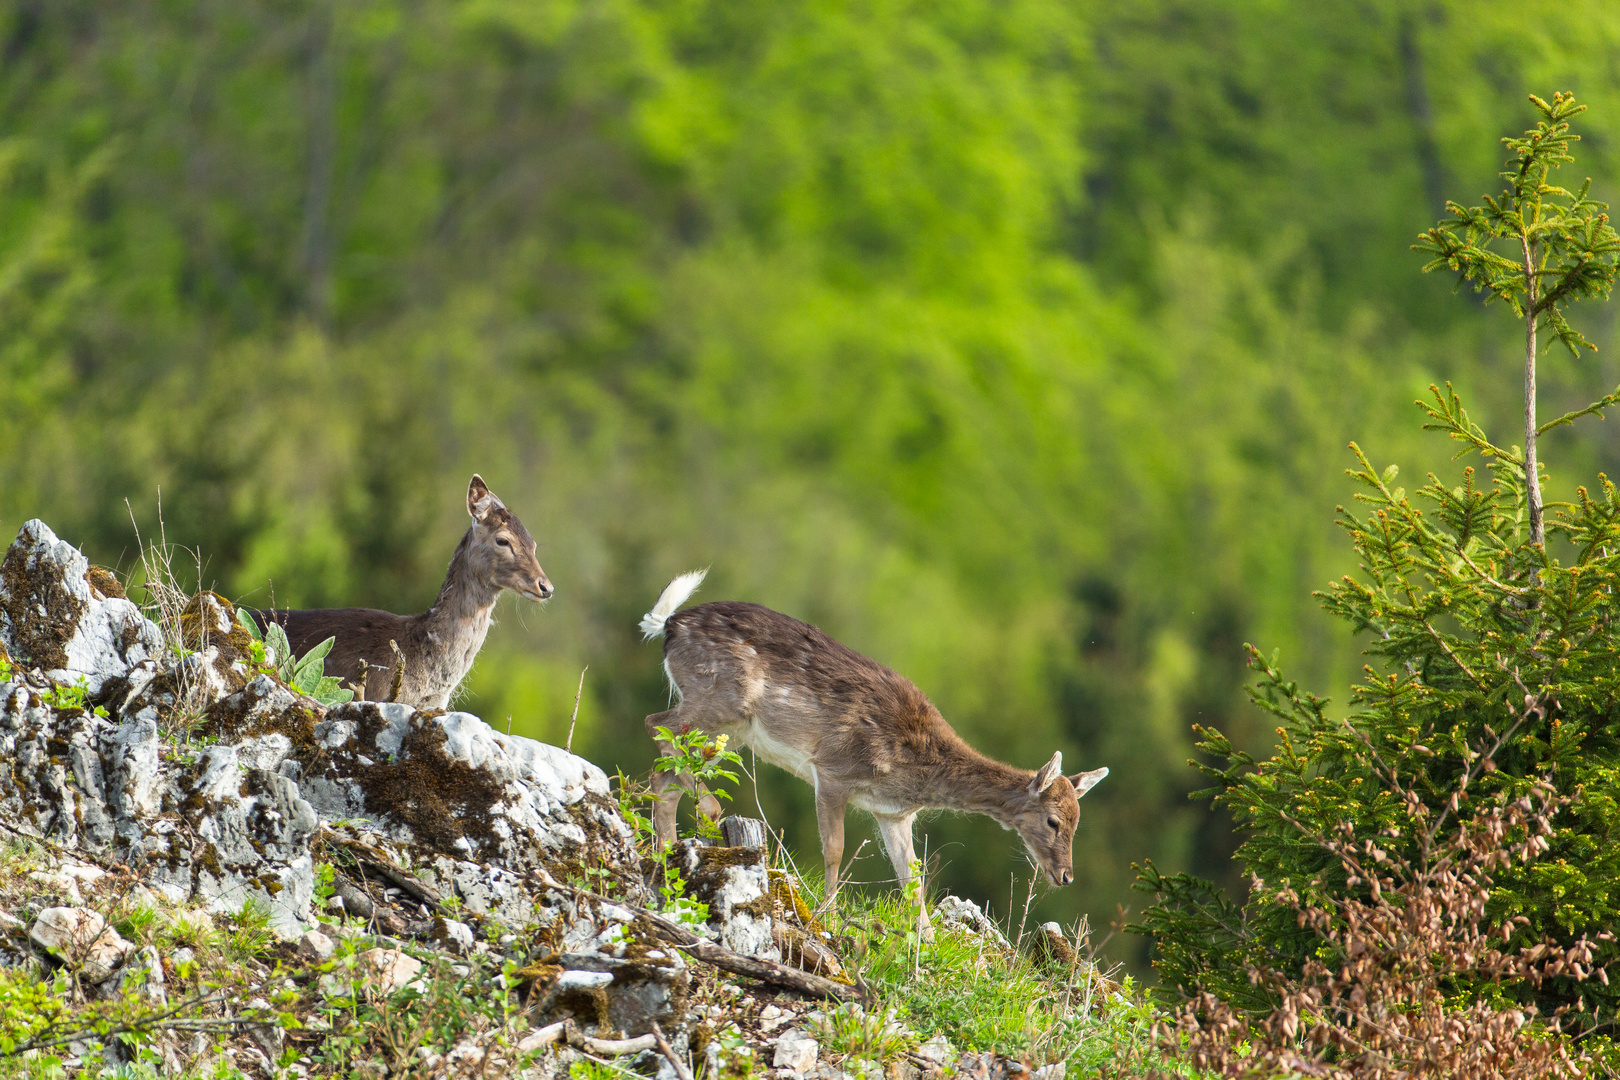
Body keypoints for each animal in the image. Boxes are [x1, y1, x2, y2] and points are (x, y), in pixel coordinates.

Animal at [638, 573, 1108, 939]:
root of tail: (669, 624)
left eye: (1078, 821)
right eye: (1054, 821)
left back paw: (667, 852)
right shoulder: (832, 770)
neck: (915, 770)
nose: (1066, 876)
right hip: (720, 698)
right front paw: (825, 918)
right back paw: (708, 811)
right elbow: (834, 849)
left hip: (731, 732)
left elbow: (912, 876)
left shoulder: (893, 813)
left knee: (669, 770)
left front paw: (927, 940)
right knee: (656, 724)